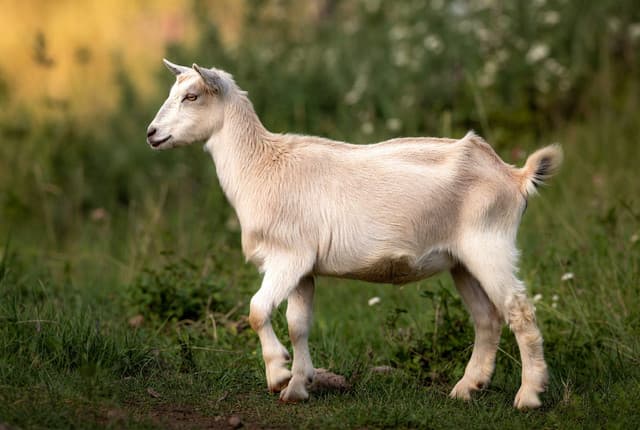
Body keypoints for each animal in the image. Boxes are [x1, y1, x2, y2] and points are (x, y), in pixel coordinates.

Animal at [147, 59, 563, 409]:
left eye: (192, 96)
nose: (152, 134)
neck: (261, 165)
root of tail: (515, 176)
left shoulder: (288, 256)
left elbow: (257, 310)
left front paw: (278, 373)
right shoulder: (303, 268)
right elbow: (298, 325)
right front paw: (298, 386)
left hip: (490, 245)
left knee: (519, 310)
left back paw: (529, 395)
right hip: (462, 260)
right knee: (487, 318)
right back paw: (467, 388)